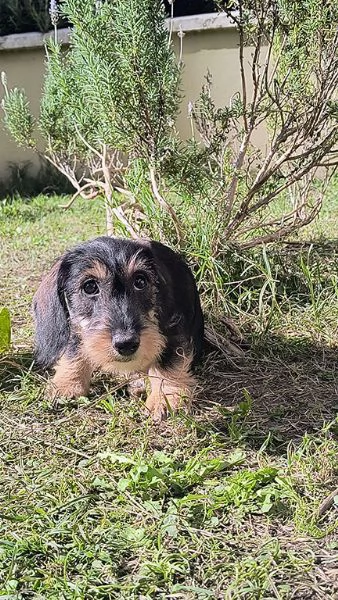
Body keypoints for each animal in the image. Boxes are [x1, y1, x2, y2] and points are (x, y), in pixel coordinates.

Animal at [33, 236, 203, 422]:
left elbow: (167, 361)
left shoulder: (173, 329)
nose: (126, 344)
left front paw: (164, 398)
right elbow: (74, 349)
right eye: (89, 286)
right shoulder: (79, 327)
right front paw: (67, 383)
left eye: (140, 281)